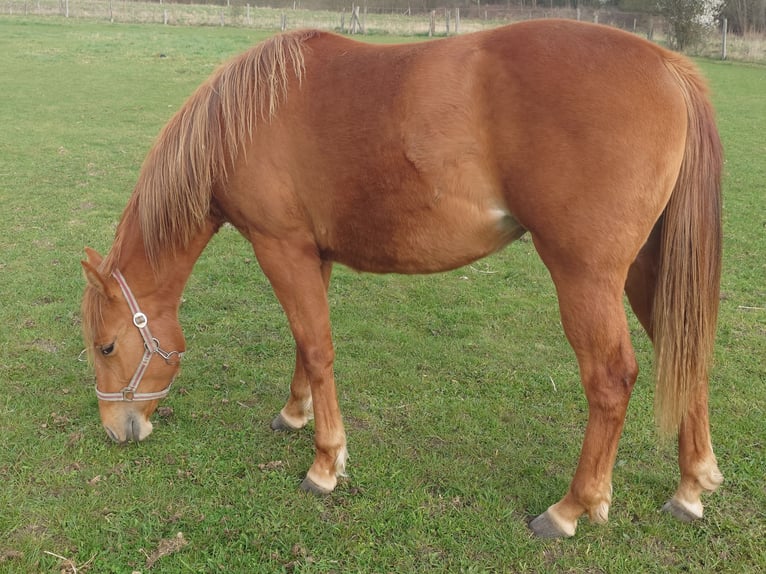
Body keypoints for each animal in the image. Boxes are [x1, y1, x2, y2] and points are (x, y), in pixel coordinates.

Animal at [81, 19, 724, 538]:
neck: (244, 121)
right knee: (686, 353)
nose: (115, 431)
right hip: (648, 270)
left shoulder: (280, 248)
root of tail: (666, 65)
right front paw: (295, 414)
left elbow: (317, 349)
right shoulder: (313, 254)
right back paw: (690, 487)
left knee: (611, 380)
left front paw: (326, 464)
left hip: (585, 276)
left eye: (107, 346)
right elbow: (305, 346)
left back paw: (571, 508)